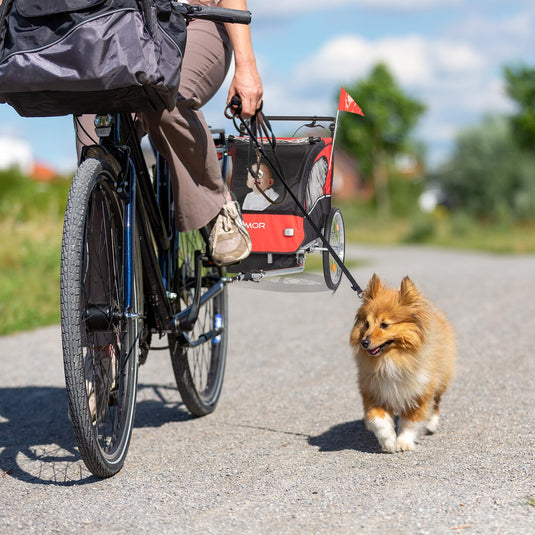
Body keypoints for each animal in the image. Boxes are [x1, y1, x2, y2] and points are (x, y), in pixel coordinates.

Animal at [352, 274, 456, 454]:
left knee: (436, 403)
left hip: (440, 380)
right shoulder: (374, 392)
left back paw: (431, 424)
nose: (365, 342)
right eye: (366, 324)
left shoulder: (419, 392)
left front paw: (403, 443)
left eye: (384, 325)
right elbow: (378, 420)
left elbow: (411, 422)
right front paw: (388, 442)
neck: (391, 359)